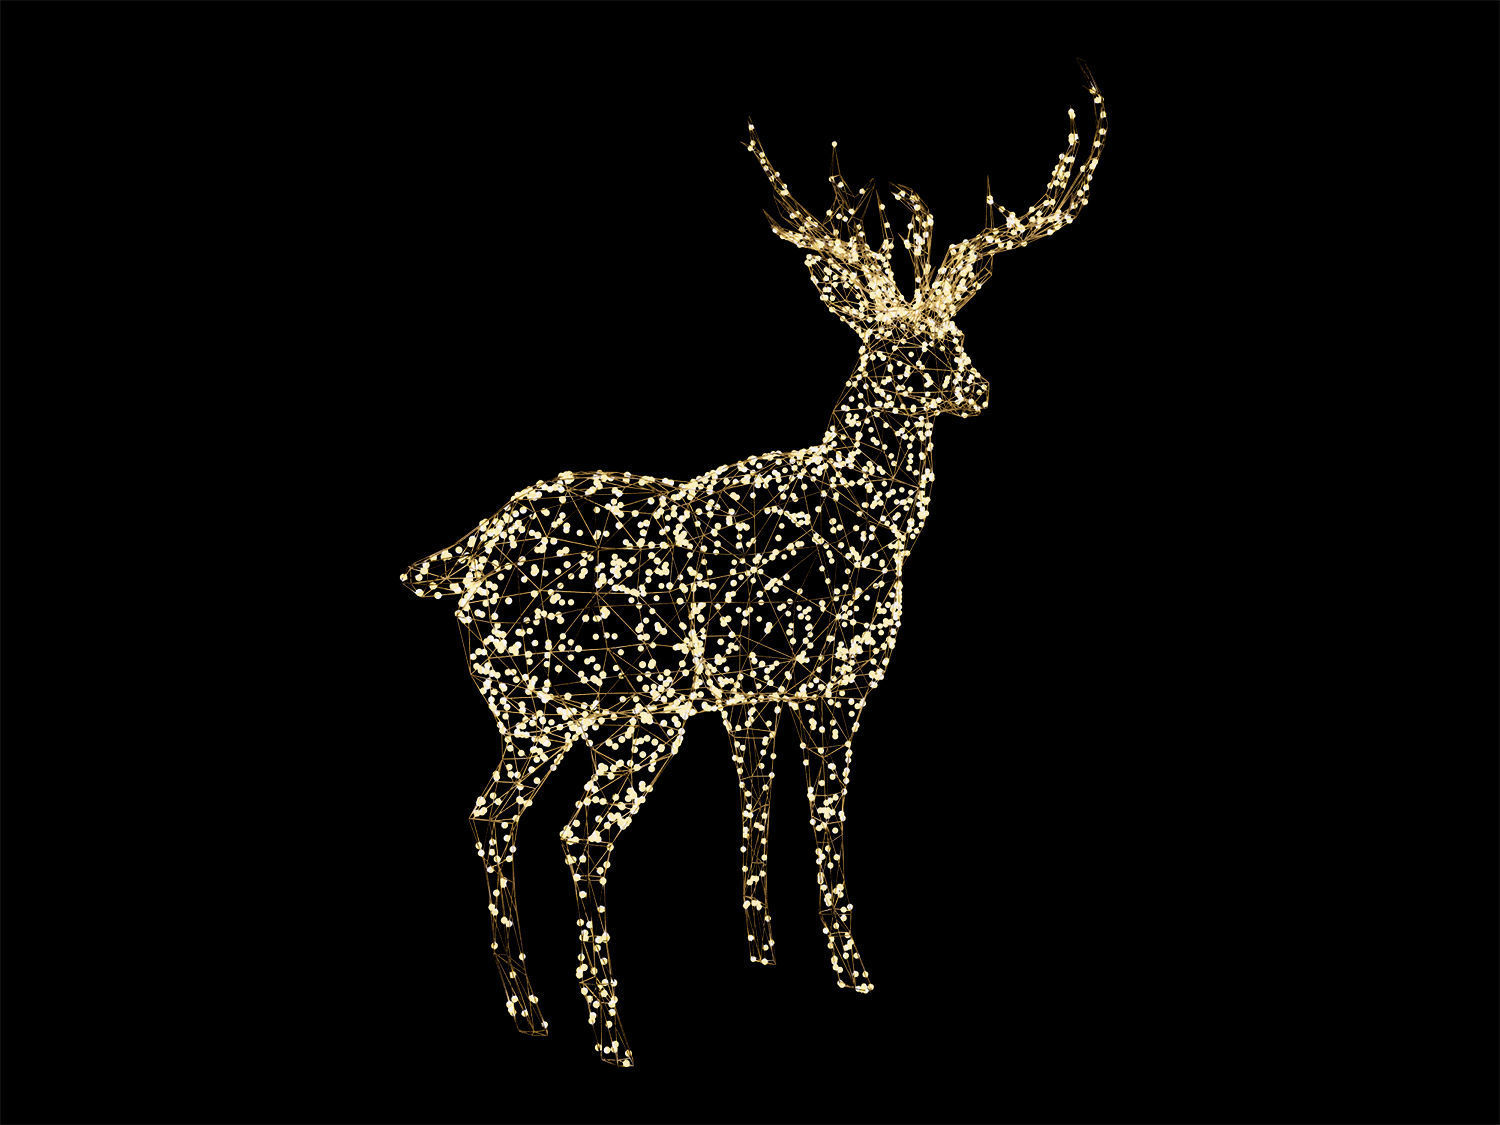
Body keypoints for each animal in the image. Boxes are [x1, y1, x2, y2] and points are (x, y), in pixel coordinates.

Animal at [401, 65, 1106, 1066]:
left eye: (958, 334)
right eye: (895, 346)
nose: (979, 389)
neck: (860, 519)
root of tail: (459, 561)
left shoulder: (750, 696)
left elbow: (755, 805)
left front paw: (765, 953)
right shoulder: (835, 682)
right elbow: (825, 820)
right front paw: (854, 969)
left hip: (535, 713)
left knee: (490, 815)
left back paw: (531, 1012)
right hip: (632, 712)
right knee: (580, 835)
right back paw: (612, 1034)